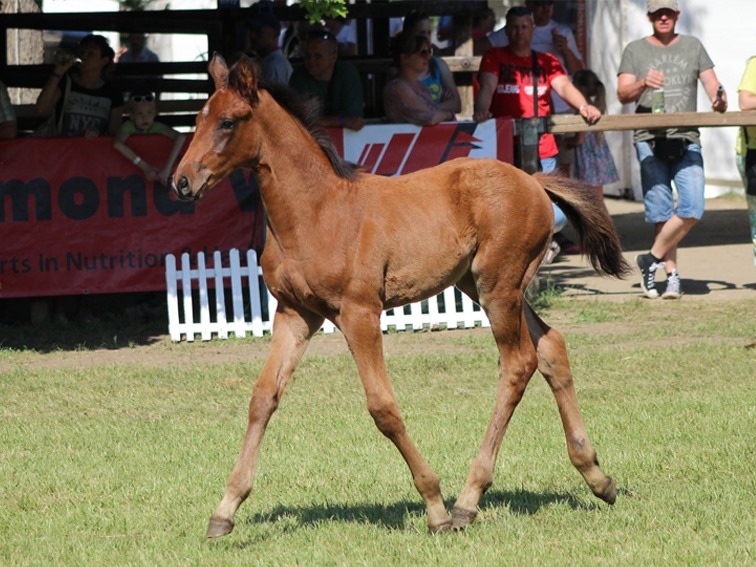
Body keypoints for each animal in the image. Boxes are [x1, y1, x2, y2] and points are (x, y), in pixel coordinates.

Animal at [174, 55, 628, 540]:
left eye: (228, 122)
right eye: (198, 118)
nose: (182, 181)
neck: (316, 212)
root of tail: (534, 180)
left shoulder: (359, 312)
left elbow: (382, 408)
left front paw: (435, 506)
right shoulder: (295, 313)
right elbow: (263, 397)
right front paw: (225, 509)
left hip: (499, 287)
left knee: (518, 364)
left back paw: (468, 501)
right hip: (485, 284)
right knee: (550, 347)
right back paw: (598, 477)